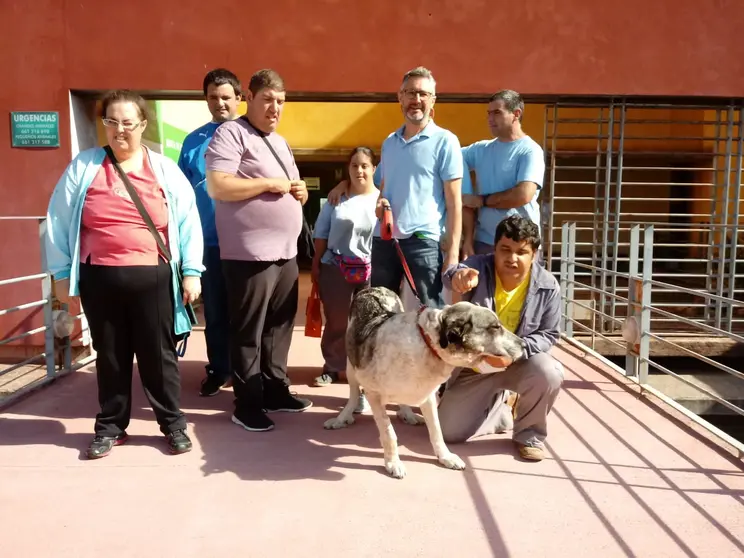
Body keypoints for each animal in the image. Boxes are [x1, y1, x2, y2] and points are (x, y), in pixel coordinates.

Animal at [324, 288, 524, 482]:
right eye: (495, 327)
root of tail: (373, 288)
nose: (523, 344)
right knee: (352, 395)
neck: (428, 345)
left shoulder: (428, 397)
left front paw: (445, 457)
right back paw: (342, 418)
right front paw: (393, 463)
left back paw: (408, 414)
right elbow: (389, 433)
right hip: (351, 368)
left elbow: (436, 431)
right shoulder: (373, 394)